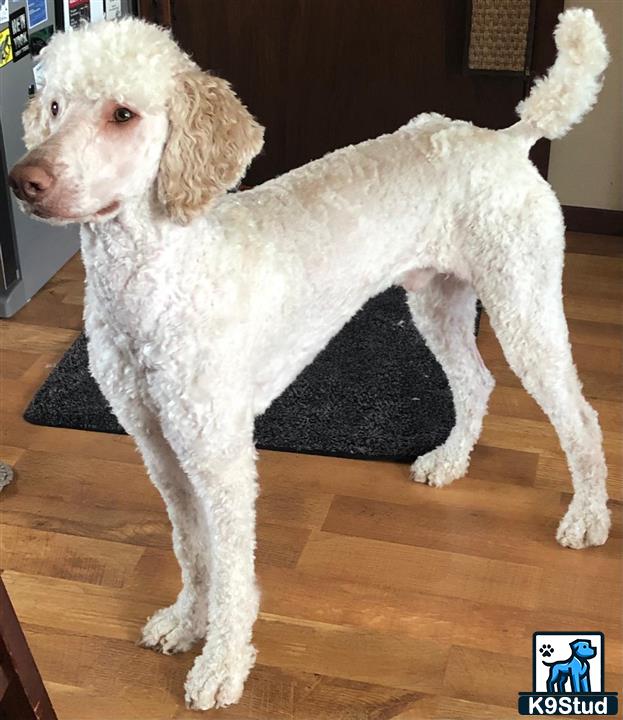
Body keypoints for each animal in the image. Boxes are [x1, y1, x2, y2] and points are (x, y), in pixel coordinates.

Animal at [11, 9, 616, 708]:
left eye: (123, 114)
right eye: (54, 105)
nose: (24, 181)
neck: (157, 277)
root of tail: (507, 139)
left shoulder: (220, 456)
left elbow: (231, 568)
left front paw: (221, 664)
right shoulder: (157, 444)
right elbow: (191, 548)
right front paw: (187, 620)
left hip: (523, 304)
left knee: (581, 418)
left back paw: (588, 516)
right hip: (438, 300)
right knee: (476, 381)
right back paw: (451, 461)